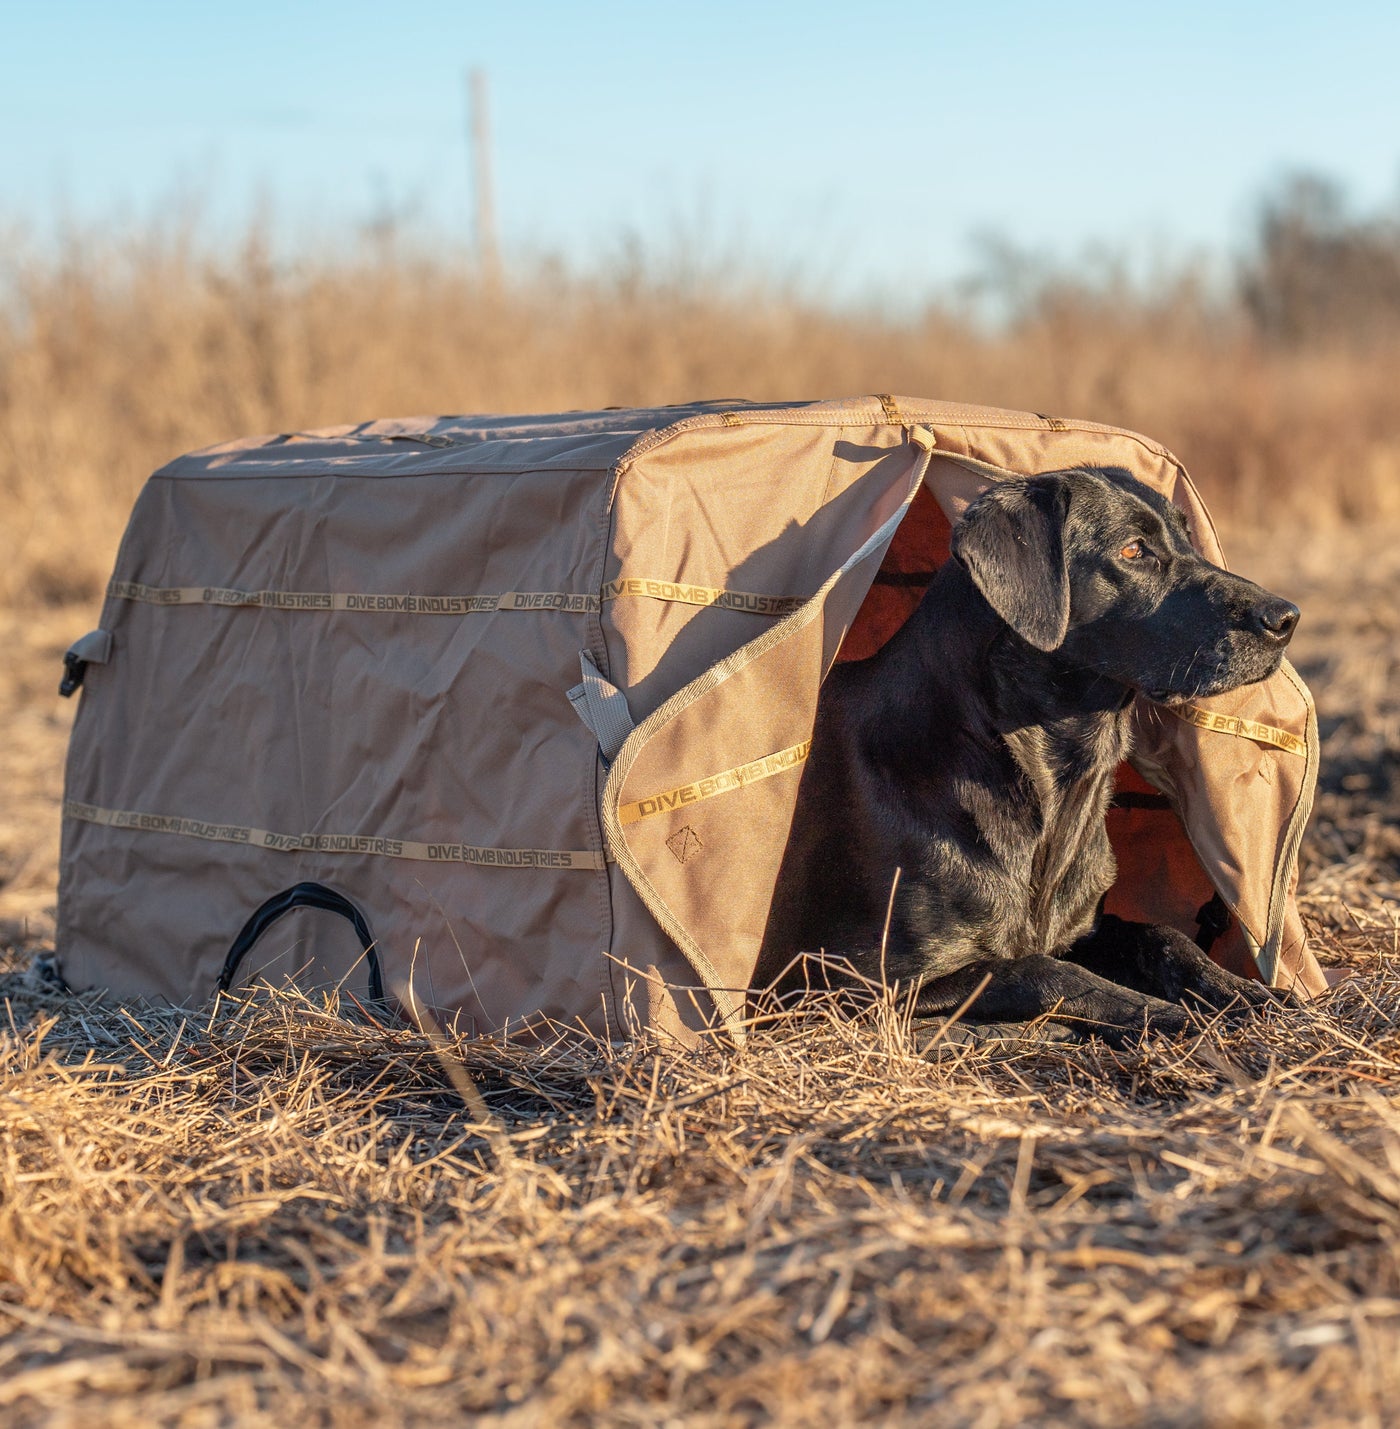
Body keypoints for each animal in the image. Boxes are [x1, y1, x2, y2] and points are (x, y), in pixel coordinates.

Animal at [754, 465, 1302, 1040]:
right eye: (1133, 550)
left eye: (1187, 538)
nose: (1287, 618)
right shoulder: (843, 985)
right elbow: (1037, 969)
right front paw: (1161, 1013)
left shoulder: (1087, 929)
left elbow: (1160, 936)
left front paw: (1245, 991)